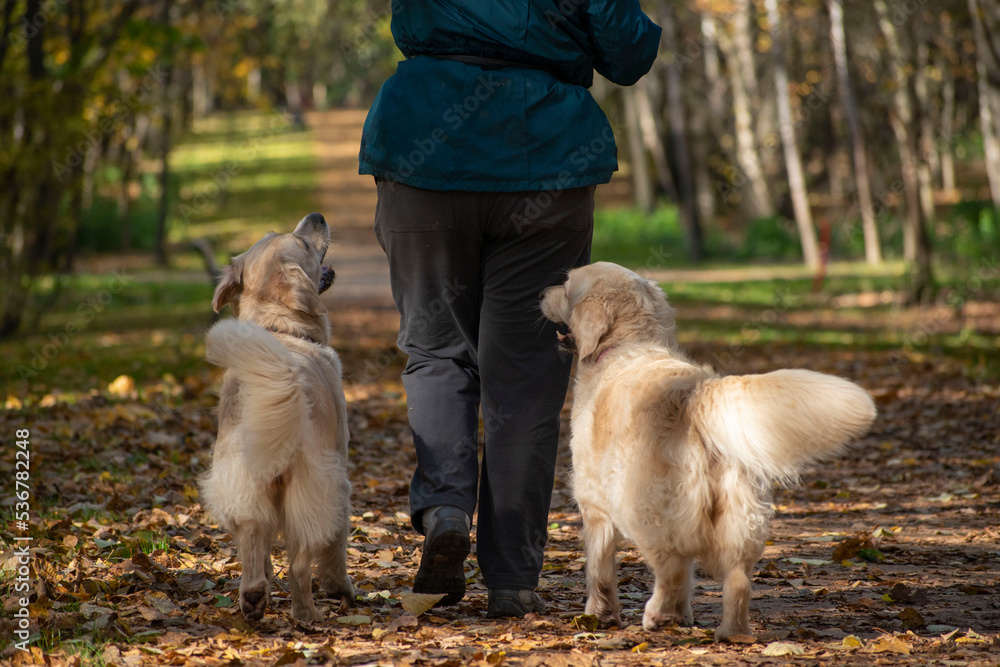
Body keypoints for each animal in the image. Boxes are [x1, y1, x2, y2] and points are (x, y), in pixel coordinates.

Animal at [198, 215, 352, 628]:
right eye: (306, 244)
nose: (317, 217)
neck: (280, 330)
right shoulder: (340, 470)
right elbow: (338, 543)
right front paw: (341, 588)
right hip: (312, 488)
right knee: (300, 563)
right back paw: (308, 614)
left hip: (243, 485)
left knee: (253, 543)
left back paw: (254, 597)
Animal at [540, 260, 876, 640]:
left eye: (566, 287)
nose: (541, 292)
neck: (628, 342)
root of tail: (696, 393)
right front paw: (683, 615)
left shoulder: (593, 504)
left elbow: (600, 570)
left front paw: (600, 616)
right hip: (740, 519)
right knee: (737, 581)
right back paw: (732, 631)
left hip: (640, 505)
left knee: (670, 567)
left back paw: (657, 616)